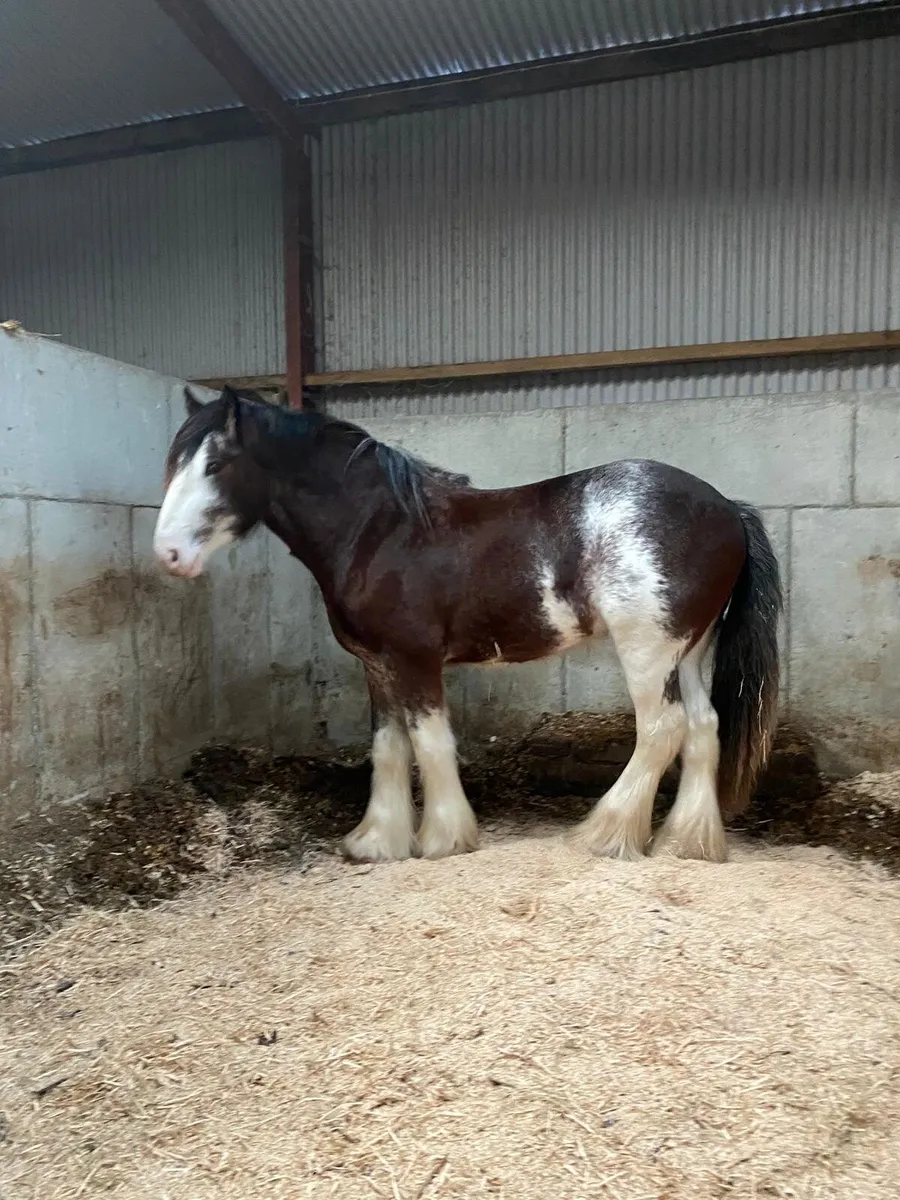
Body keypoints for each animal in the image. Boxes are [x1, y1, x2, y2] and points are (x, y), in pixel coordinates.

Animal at [154, 386, 782, 865]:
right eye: (174, 463)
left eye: (215, 464)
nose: (169, 555)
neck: (380, 529)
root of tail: (727, 508)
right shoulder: (378, 664)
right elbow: (388, 747)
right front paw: (376, 841)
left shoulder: (415, 659)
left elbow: (430, 743)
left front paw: (444, 838)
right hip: (690, 651)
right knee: (703, 727)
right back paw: (686, 842)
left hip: (647, 651)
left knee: (661, 729)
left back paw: (604, 835)